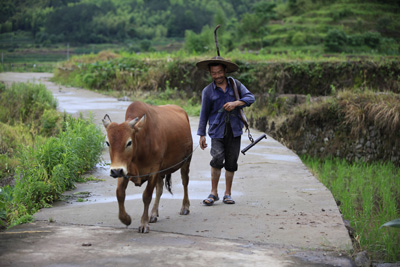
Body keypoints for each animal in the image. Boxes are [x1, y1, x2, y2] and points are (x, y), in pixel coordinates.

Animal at [102, 101, 191, 233]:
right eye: (107, 142)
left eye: (129, 142)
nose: (115, 171)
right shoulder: (124, 171)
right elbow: (120, 193)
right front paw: (126, 219)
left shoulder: (153, 170)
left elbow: (147, 196)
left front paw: (143, 224)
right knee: (160, 189)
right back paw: (153, 214)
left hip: (186, 161)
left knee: (185, 182)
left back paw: (185, 207)